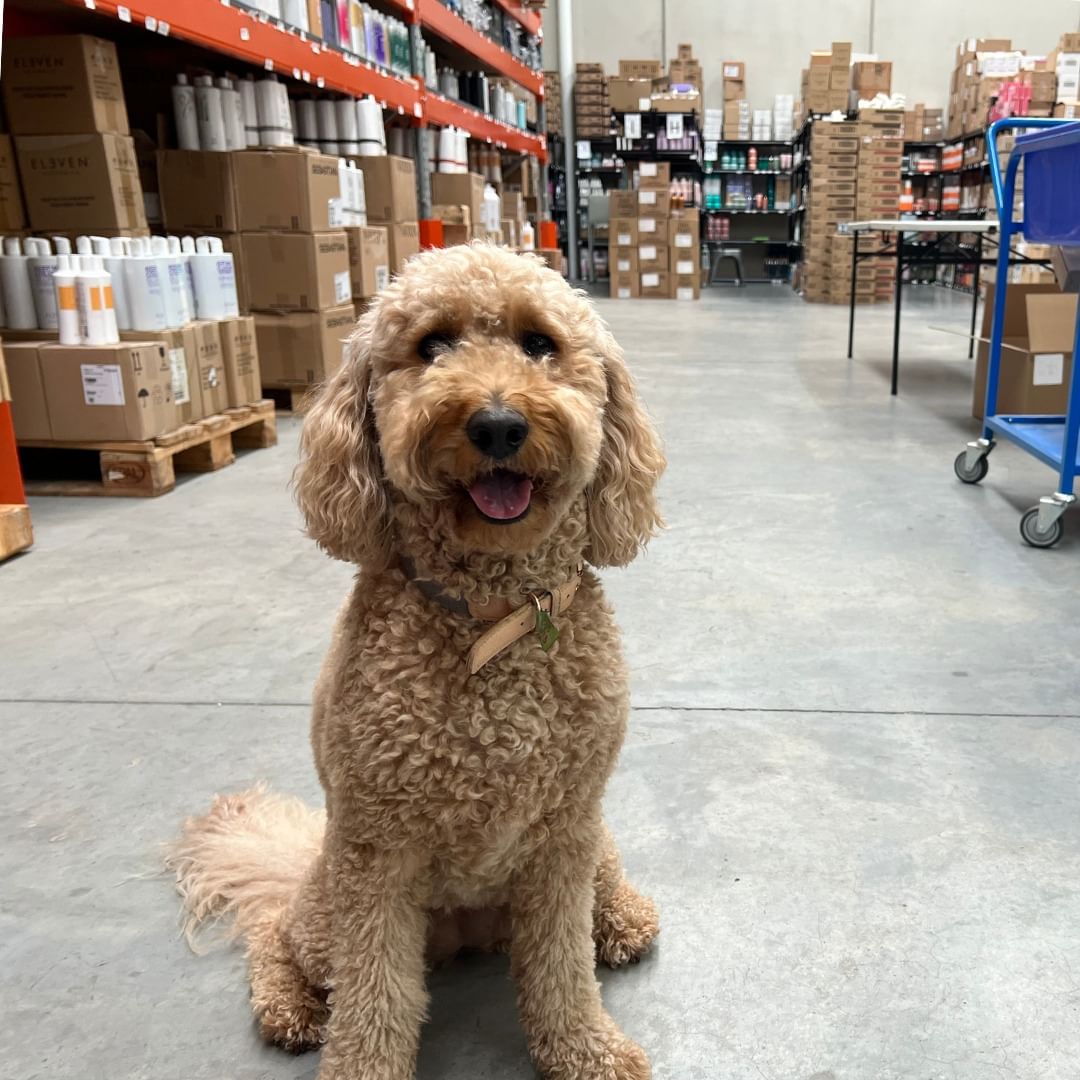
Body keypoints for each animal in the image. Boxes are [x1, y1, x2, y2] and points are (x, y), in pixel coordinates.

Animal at [168, 245, 665, 1080]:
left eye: (539, 344)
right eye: (432, 345)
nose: (497, 424)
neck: (496, 619)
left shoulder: (563, 832)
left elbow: (561, 967)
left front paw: (586, 1050)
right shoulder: (377, 853)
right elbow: (374, 999)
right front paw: (361, 1068)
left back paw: (623, 916)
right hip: (329, 897)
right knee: (277, 931)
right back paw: (289, 1008)